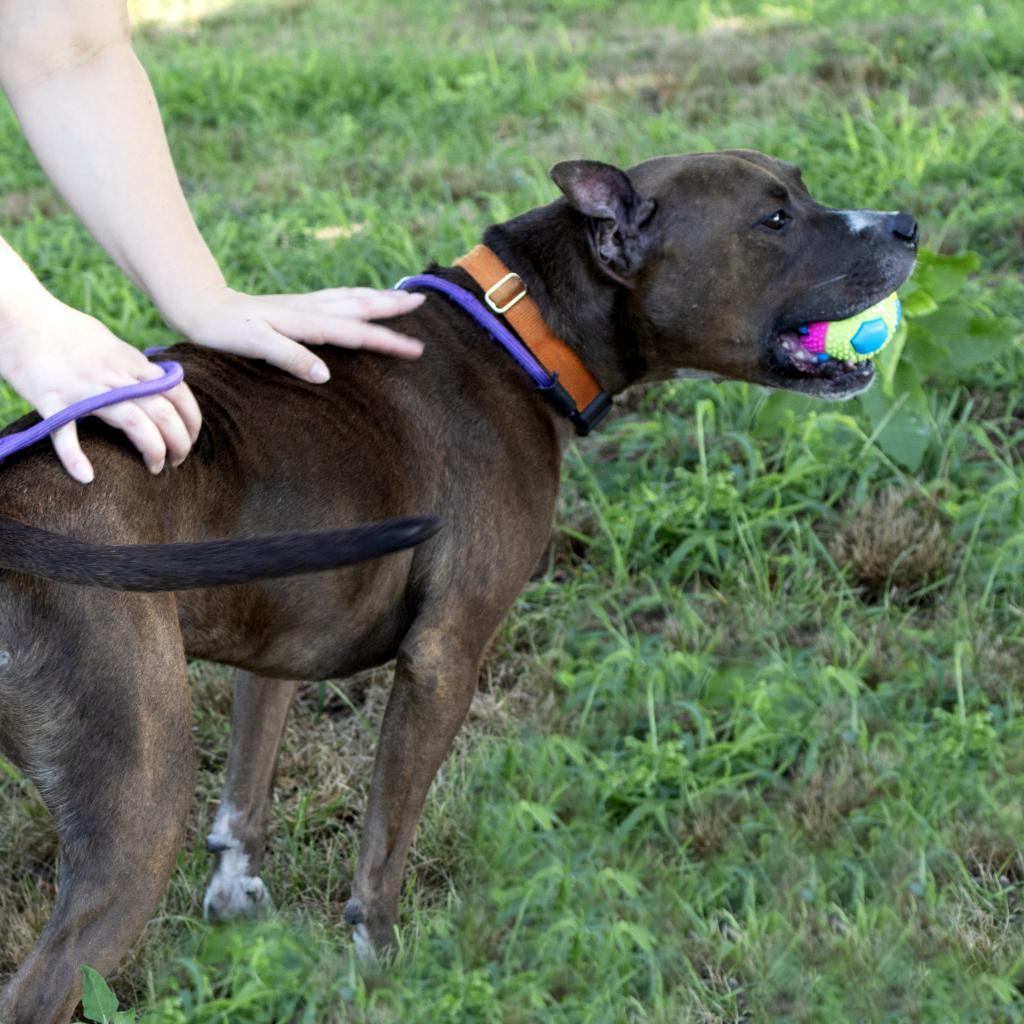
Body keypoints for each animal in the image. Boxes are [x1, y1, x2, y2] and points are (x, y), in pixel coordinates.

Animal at [0, 148, 921, 1019]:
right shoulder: (444, 662)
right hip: (139, 813)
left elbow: (245, 795)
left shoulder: (282, 643)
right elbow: (385, 844)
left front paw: (237, 906)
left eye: (800, 186)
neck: (521, 331)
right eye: (774, 219)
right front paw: (376, 964)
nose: (907, 224)